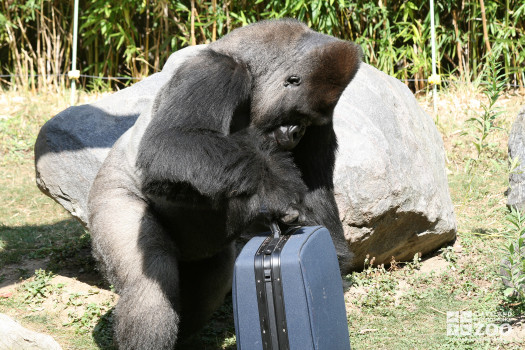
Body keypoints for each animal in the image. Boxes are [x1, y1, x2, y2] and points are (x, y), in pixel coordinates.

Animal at [88, 19, 362, 350]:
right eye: (299, 116)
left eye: (308, 123)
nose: (297, 133)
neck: (254, 67)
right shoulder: (216, 71)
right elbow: (171, 143)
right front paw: (273, 186)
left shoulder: (325, 117)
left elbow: (315, 189)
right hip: (109, 193)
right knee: (148, 287)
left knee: (211, 280)